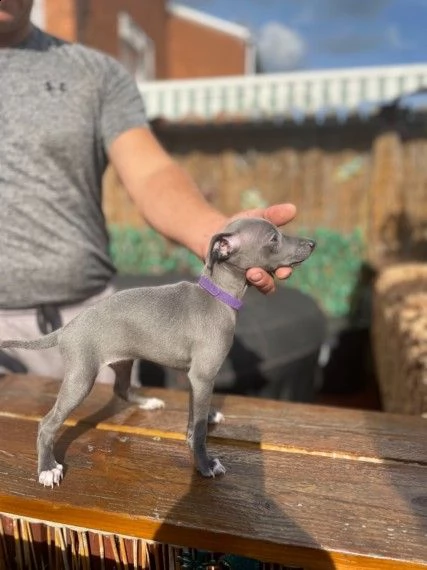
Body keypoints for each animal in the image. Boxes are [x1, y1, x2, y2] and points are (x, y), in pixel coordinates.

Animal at [0, 217, 314, 484]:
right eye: (273, 238)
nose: (312, 243)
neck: (217, 295)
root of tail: (67, 329)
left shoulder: (195, 377)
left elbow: (194, 419)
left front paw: (198, 430)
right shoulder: (203, 376)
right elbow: (199, 431)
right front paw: (205, 464)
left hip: (123, 360)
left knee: (121, 389)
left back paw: (147, 402)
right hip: (81, 377)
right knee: (48, 423)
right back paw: (47, 468)